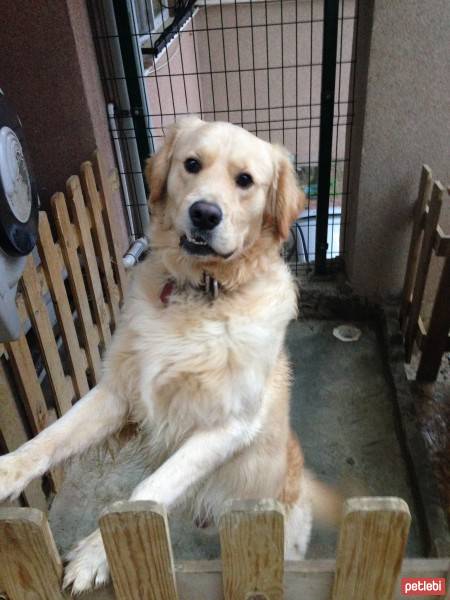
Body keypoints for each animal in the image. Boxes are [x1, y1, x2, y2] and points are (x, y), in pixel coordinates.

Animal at [0, 117, 336, 592]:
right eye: (191, 164)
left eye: (245, 180)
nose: (204, 214)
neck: (203, 294)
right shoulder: (119, 390)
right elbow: (51, 438)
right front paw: (5, 472)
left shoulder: (228, 425)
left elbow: (149, 490)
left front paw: (97, 554)